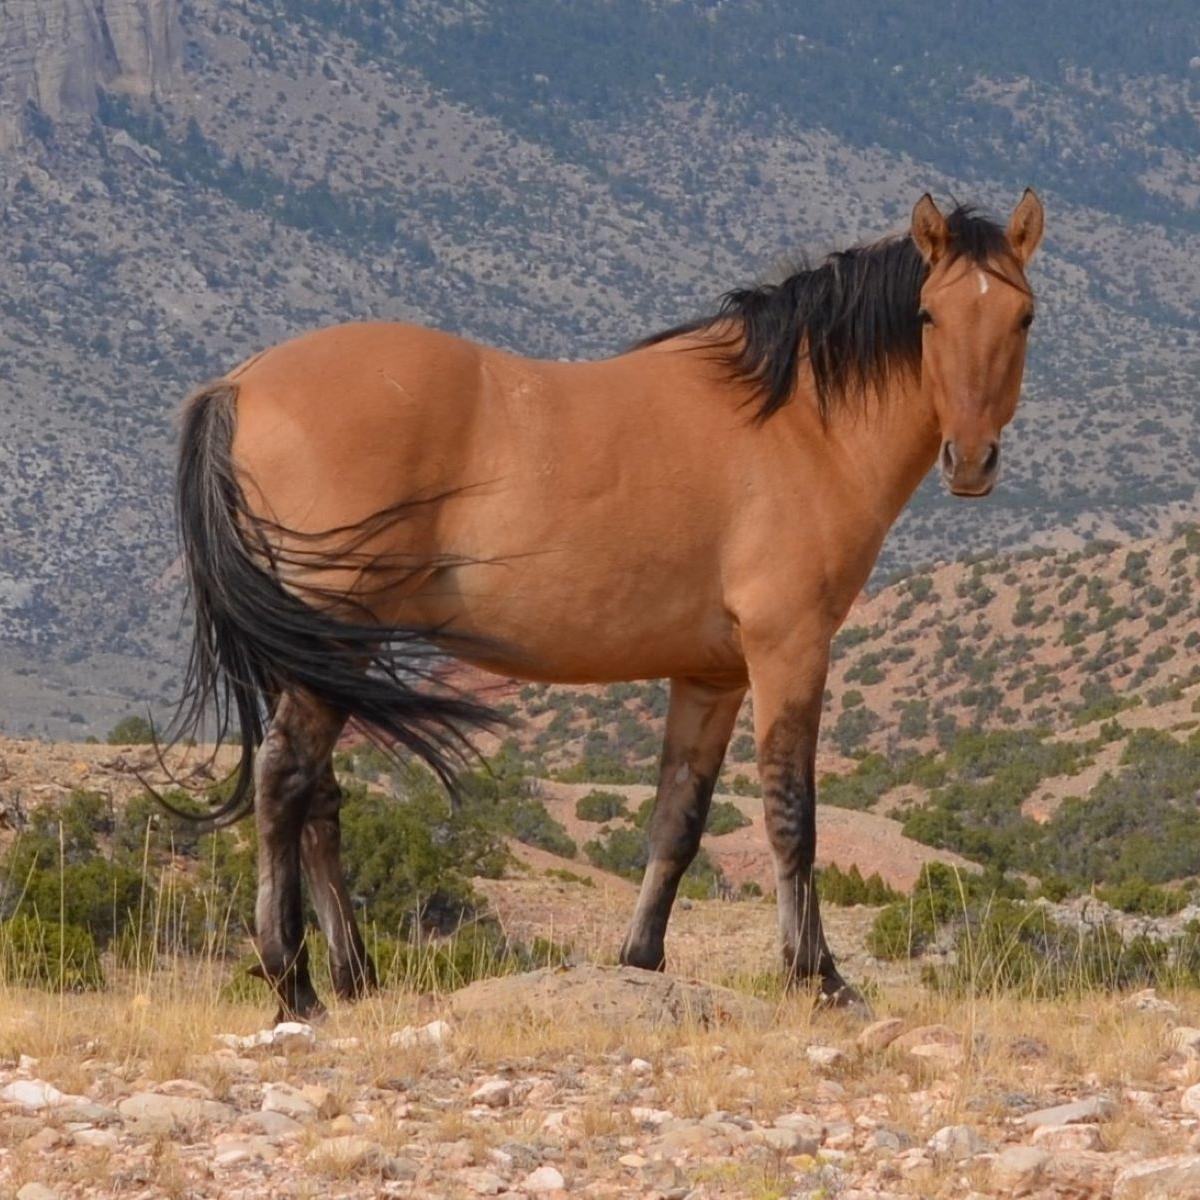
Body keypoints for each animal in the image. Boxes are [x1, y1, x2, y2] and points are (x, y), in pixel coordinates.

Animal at [172, 190, 1044, 1020]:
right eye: (929, 316)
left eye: (1022, 315)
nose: (971, 461)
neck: (797, 424)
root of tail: (240, 383)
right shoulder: (789, 649)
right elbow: (790, 812)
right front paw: (820, 976)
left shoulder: (712, 677)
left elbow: (679, 818)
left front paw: (641, 960)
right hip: (334, 638)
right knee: (285, 780)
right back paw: (295, 984)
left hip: (321, 652)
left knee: (318, 796)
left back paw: (355, 979)